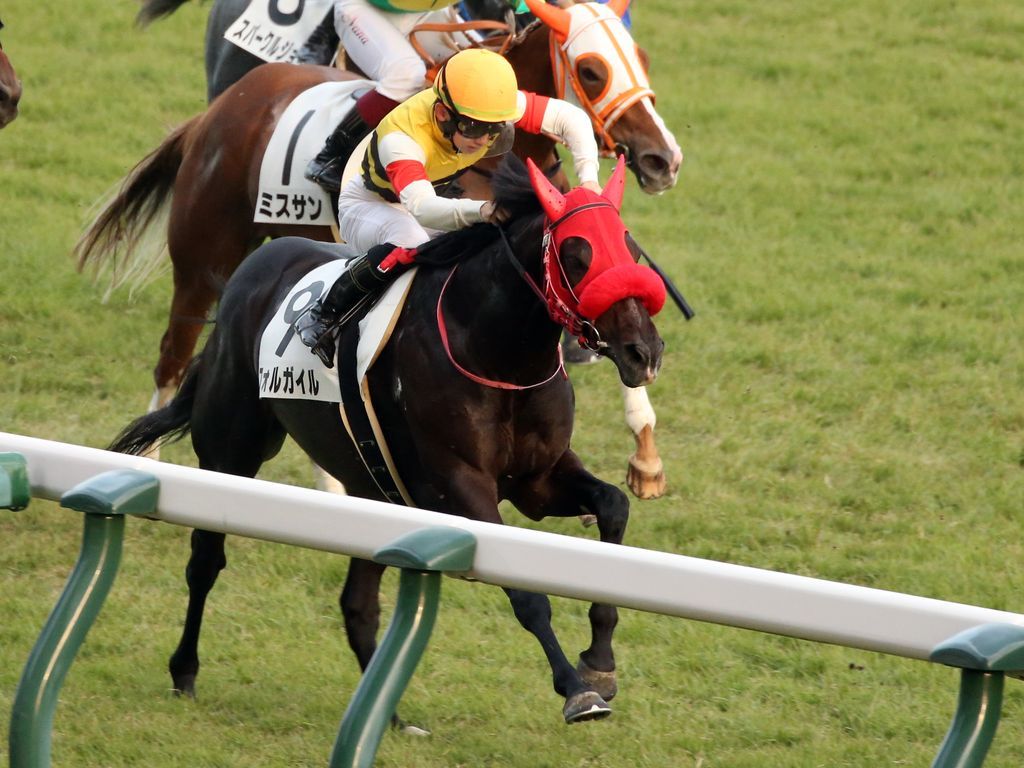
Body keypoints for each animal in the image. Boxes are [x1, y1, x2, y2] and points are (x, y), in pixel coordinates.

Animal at [78, 0, 681, 498]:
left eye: (642, 57)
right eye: (592, 71)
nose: (663, 159)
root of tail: (221, 110)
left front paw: (646, 453)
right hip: (205, 259)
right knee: (173, 360)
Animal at [108, 154, 667, 724]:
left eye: (631, 248)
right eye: (576, 256)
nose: (643, 351)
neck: (494, 351)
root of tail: (252, 270)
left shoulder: (540, 477)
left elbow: (614, 506)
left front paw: (600, 662)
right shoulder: (461, 485)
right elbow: (527, 595)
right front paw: (577, 689)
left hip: (371, 490)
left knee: (357, 605)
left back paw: (388, 717)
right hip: (231, 451)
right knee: (205, 561)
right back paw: (185, 671)